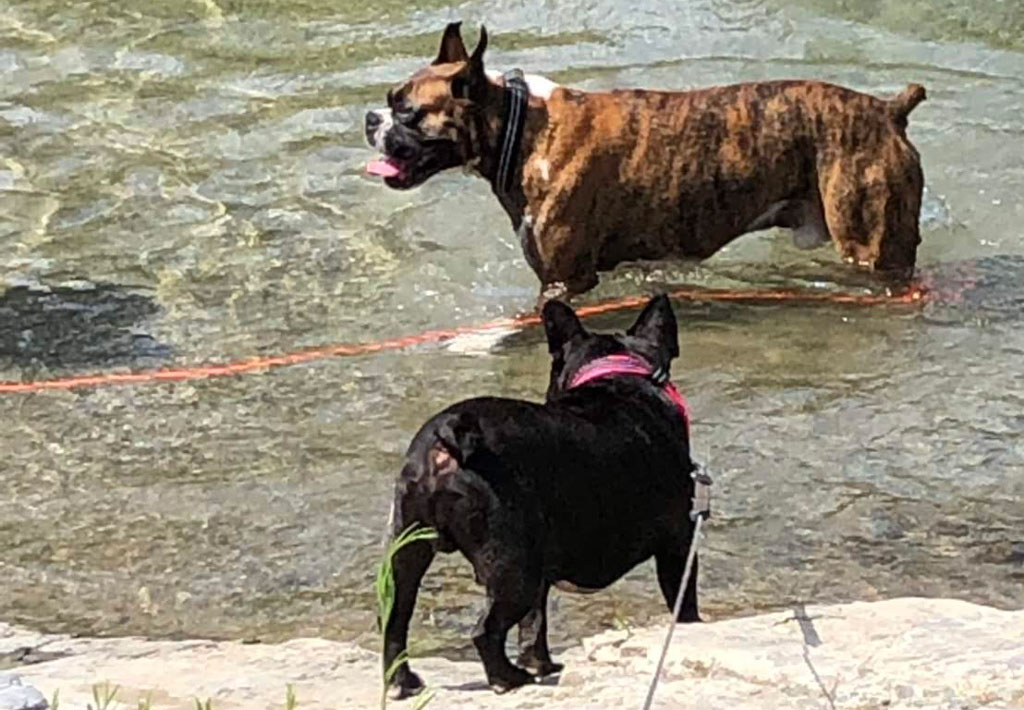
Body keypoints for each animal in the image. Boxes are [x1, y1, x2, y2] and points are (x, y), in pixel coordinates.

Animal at [380, 293, 700, 692]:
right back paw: (506, 678)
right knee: (485, 630)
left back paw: (402, 681)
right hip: (512, 565)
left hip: (409, 551)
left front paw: (541, 664)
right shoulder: (680, 543)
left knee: (396, 619)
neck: (618, 375)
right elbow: (684, 602)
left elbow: (534, 625)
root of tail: (448, 435)